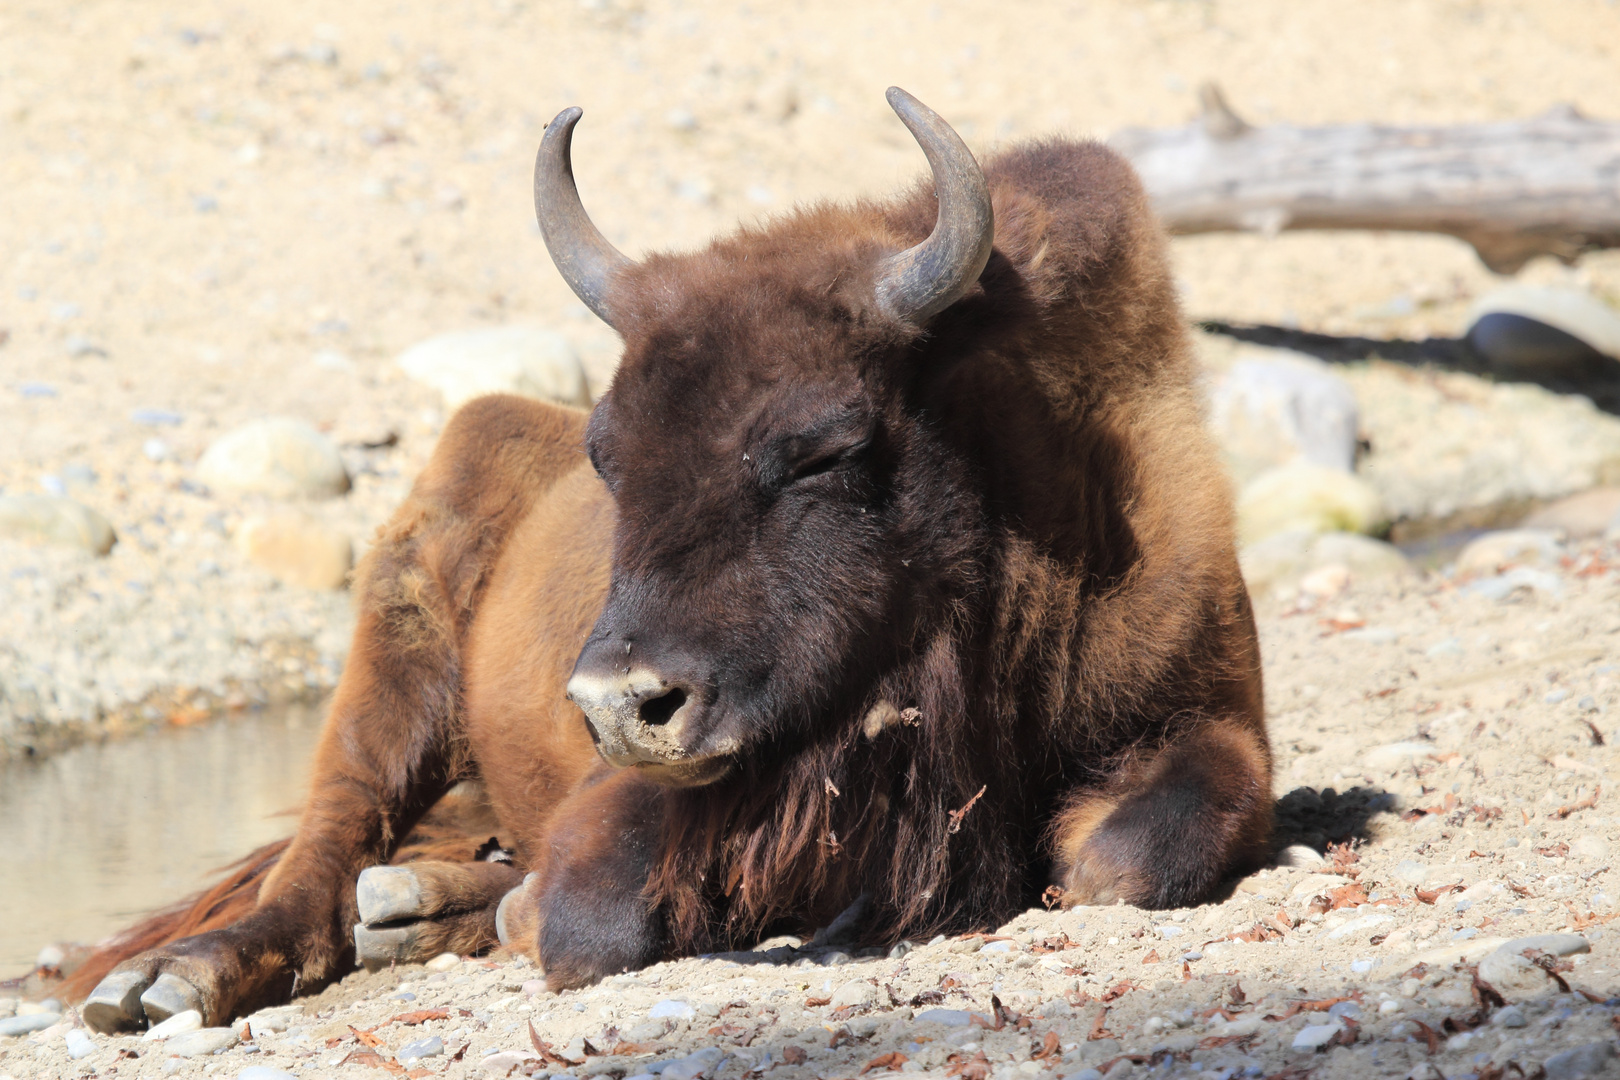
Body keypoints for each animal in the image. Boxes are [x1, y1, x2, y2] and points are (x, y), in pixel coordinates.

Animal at [72, 88, 1263, 1036]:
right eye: (609, 452)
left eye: (825, 449)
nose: (619, 705)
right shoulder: (641, 788)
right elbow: (596, 915)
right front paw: (525, 912)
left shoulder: (1213, 710)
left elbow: (1136, 853)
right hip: (397, 646)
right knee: (331, 830)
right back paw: (169, 982)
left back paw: (406, 910)